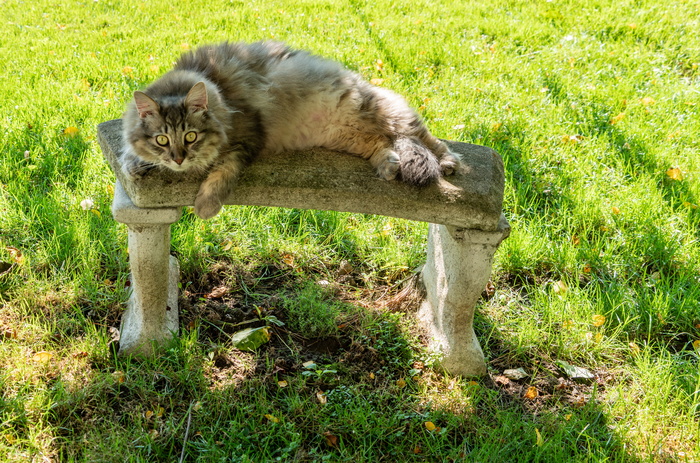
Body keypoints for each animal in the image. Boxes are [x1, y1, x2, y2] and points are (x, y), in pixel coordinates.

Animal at [120, 41, 460, 219]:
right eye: (162, 140)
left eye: (190, 136)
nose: (178, 159)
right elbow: (132, 153)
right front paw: (134, 163)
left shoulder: (248, 136)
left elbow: (222, 172)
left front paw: (205, 205)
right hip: (348, 134)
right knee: (382, 143)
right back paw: (388, 165)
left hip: (380, 112)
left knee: (423, 137)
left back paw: (447, 162)